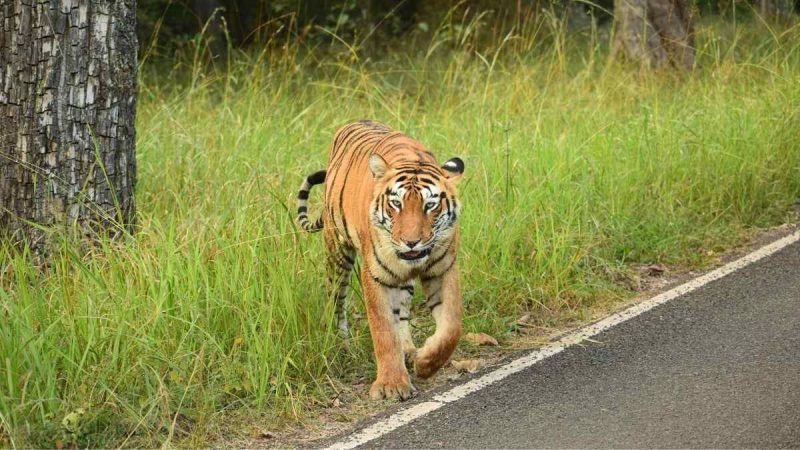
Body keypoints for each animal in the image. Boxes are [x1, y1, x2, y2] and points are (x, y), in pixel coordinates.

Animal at [296, 120, 465, 401]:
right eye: (396, 203)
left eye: (430, 206)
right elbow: (383, 329)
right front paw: (391, 385)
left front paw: (425, 363)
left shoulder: (443, 268)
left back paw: (408, 350)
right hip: (337, 251)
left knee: (402, 313)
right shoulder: (376, 275)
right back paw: (342, 344)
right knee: (336, 298)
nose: (411, 242)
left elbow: (451, 327)